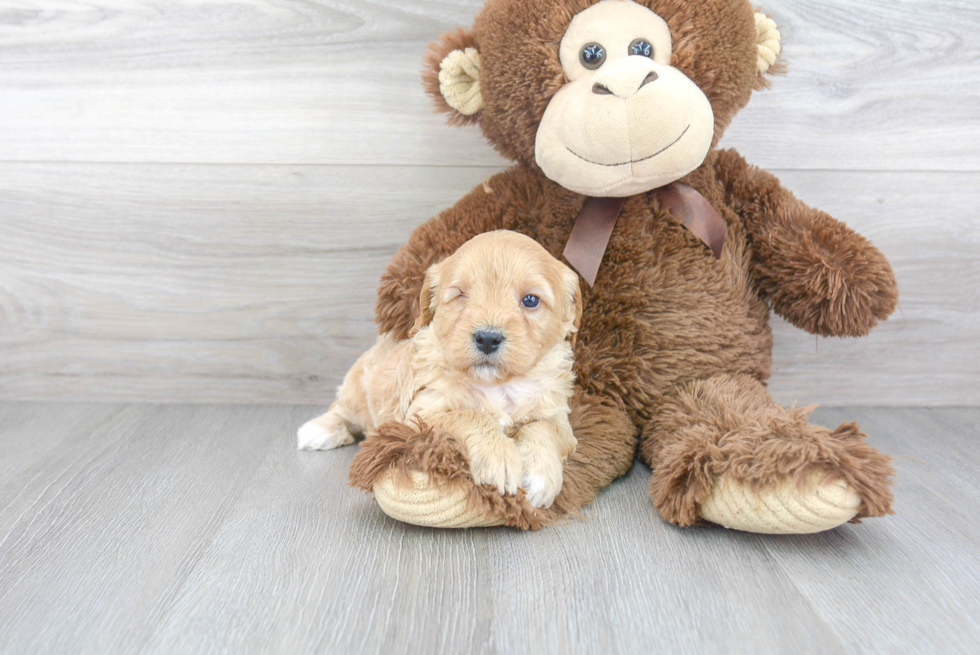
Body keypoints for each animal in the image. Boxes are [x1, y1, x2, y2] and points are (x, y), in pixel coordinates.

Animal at [298, 231, 580, 512]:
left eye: (530, 300)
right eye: (461, 295)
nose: (488, 338)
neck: (497, 385)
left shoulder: (557, 416)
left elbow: (545, 429)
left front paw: (541, 475)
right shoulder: (422, 415)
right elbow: (470, 416)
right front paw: (497, 458)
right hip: (356, 391)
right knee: (341, 410)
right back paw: (318, 431)